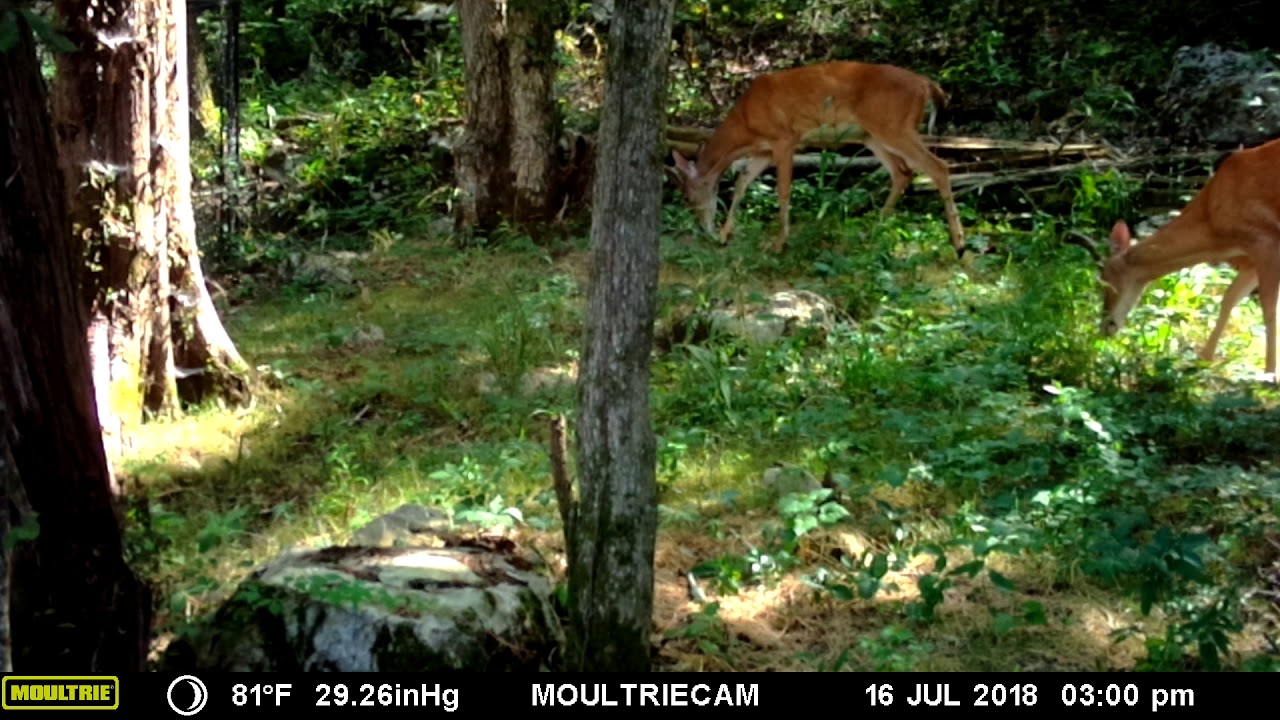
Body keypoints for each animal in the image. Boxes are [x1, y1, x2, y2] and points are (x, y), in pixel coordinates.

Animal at [667, 61, 966, 257]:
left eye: (688, 197)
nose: (704, 229)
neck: (745, 124)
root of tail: (926, 84)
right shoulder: (764, 150)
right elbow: (742, 182)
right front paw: (724, 235)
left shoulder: (785, 139)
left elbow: (783, 190)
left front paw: (779, 244)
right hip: (870, 134)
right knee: (902, 172)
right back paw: (873, 230)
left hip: (894, 126)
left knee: (938, 166)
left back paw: (959, 244)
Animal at [1096, 137, 1280, 376]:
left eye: (1105, 282)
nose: (1105, 327)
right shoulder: (1251, 257)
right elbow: (1230, 298)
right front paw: (1204, 359)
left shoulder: (1266, 239)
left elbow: (1269, 309)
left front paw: (1270, 372)